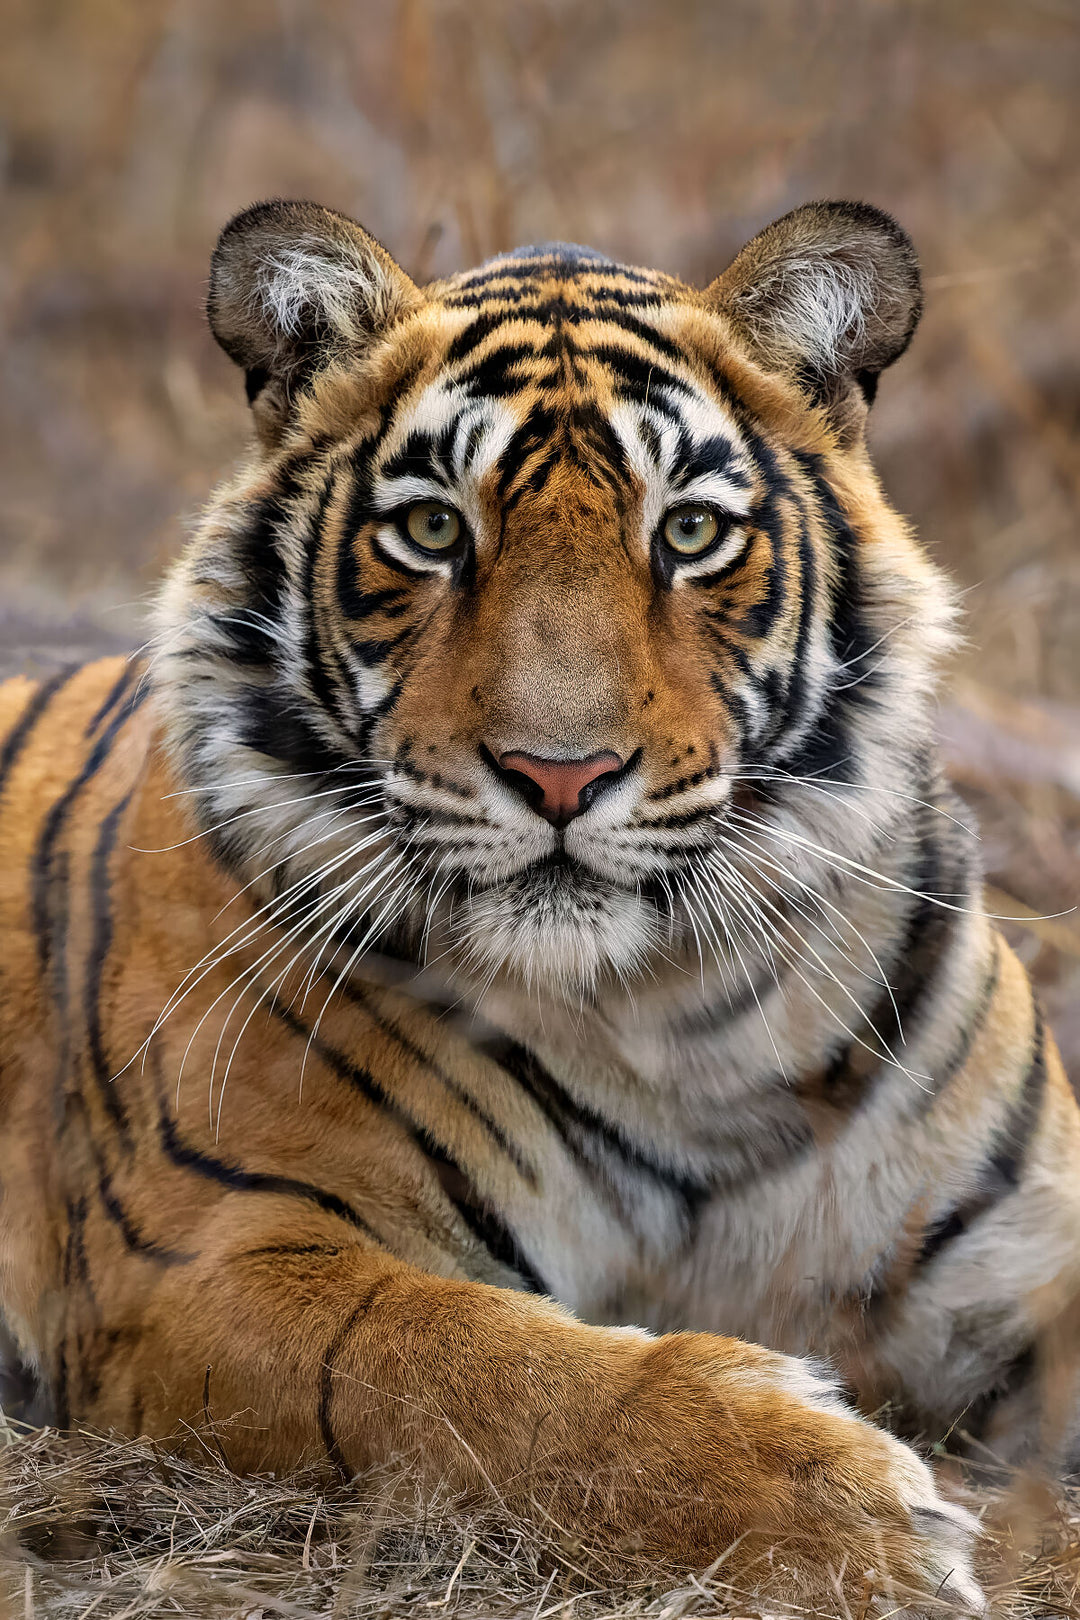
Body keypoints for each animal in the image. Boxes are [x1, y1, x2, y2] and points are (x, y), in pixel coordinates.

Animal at [2, 196, 1080, 1613]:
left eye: (688, 534)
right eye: (430, 532)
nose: (559, 774)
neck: (682, 1015)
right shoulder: (204, 1257)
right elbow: (482, 1372)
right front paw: (861, 1520)